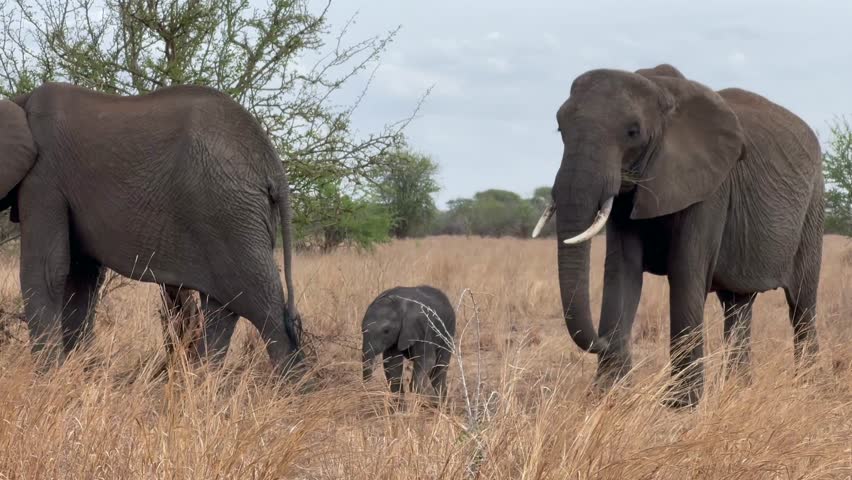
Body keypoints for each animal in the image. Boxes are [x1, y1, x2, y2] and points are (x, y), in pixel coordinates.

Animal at [0, 82, 304, 377]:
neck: (18, 101)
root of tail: (272, 165)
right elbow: (80, 278)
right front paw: (81, 373)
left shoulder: (44, 178)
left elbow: (47, 271)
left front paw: (48, 380)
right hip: (232, 216)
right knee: (222, 308)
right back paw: (199, 383)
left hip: (230, 211)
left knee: (263, 305)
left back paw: (292, 387)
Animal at [531, 64, 824, 407]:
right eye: (560, 128)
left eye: (633, 132)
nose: (605, 341)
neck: (662, 92)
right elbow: (622, 272)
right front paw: (607, 398)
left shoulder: (710, 188)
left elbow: (686, 273)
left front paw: (680, 406)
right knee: (738, 304)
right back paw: (739, 389)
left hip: (814, 206)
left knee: (802, 304)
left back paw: (808, 388)